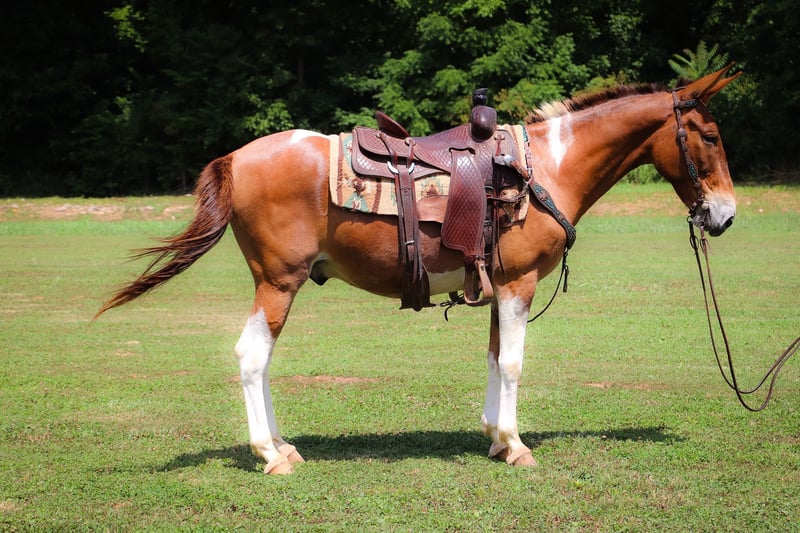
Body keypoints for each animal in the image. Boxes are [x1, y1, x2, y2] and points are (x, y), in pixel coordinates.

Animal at [96, 66, 740, 474]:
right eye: (709, 136)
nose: (725, 215)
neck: (547, 168)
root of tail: (237, 157)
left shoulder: (499, 286)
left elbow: (493, 357)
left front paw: (494, 439)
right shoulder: (519, 284)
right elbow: (513, 362)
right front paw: (516, 445)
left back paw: (283, 445)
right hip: (278, 282)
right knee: (252, 356)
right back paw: (271, 454)